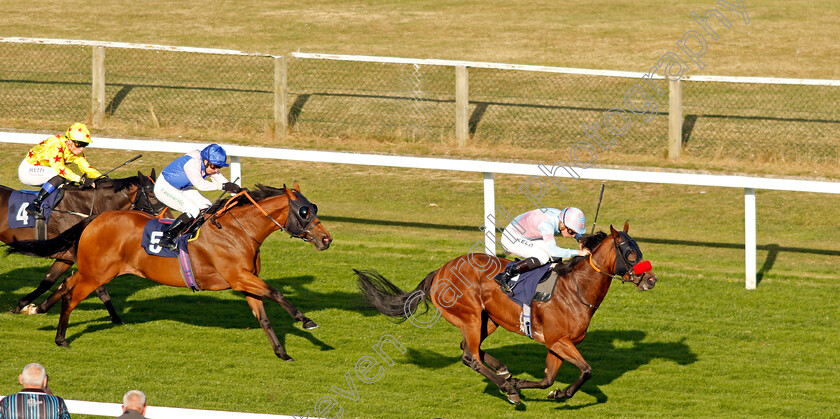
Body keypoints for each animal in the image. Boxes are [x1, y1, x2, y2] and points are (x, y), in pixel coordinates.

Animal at [0, 169, 167, 320]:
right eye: (152, 196)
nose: (167, 217)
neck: (80, 207)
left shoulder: (65, 257)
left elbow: (47, 281)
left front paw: (22, 305)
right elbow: (100, 288)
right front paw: (116, 319)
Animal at [9, 184, 334, 360]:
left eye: (314, 208)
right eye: (304, 211)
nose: (326, 239)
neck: (240, 231)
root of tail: (96, 218)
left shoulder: (244, 282)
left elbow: (264, 317)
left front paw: (282, 352)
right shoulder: (239, 277)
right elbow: (276, 292)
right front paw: (307, 321)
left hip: (93, 270)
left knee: (65, 284)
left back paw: (36, 308)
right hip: (95, 274)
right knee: (71, 297)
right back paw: (61, 338)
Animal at [354, 225, 656, 406]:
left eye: (639, 250)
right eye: (629, 253)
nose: (651, 280)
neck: (576, 289)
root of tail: (440, 271)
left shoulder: (557, 344)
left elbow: (549, 379)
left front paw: (549, 390)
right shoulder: (558, 341)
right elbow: (586, 370)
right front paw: (542, 391)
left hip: (488, 320)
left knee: (468, 348)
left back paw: (504, 372)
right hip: (471, 316)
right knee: (470, 357)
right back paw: (507, 388)